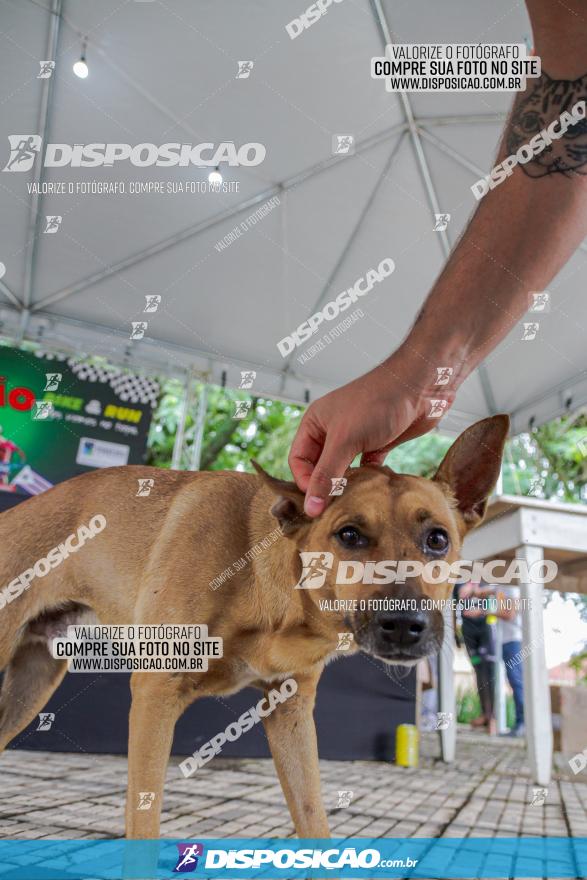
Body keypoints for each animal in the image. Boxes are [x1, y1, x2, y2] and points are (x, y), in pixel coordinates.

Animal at [0, 412, 508, 840]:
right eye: (349, 535)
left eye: (437, 539)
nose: (404, 625)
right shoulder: (155, 694)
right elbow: (143, 823)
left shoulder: (292, 711)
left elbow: (314, 818)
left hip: (30, 685)